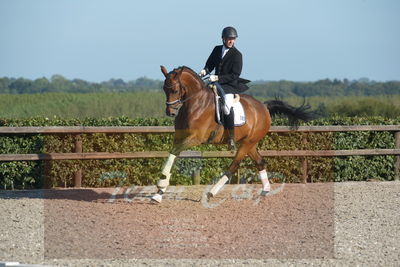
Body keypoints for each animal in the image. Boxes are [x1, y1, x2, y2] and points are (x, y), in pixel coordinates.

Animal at [152, 65, 314, 203]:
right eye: (164, 89)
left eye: (174, 90)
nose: (171, 112)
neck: (195, 104)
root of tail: (263, 107)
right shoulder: (179, 137)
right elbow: (172, 153)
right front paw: (159, 193)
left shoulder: (195, 138)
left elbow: (174, 152)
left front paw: (161, 183)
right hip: (249, 143)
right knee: (259, 162)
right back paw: (265, 190)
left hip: (247, 143)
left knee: (233, 166)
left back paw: (211, 193)